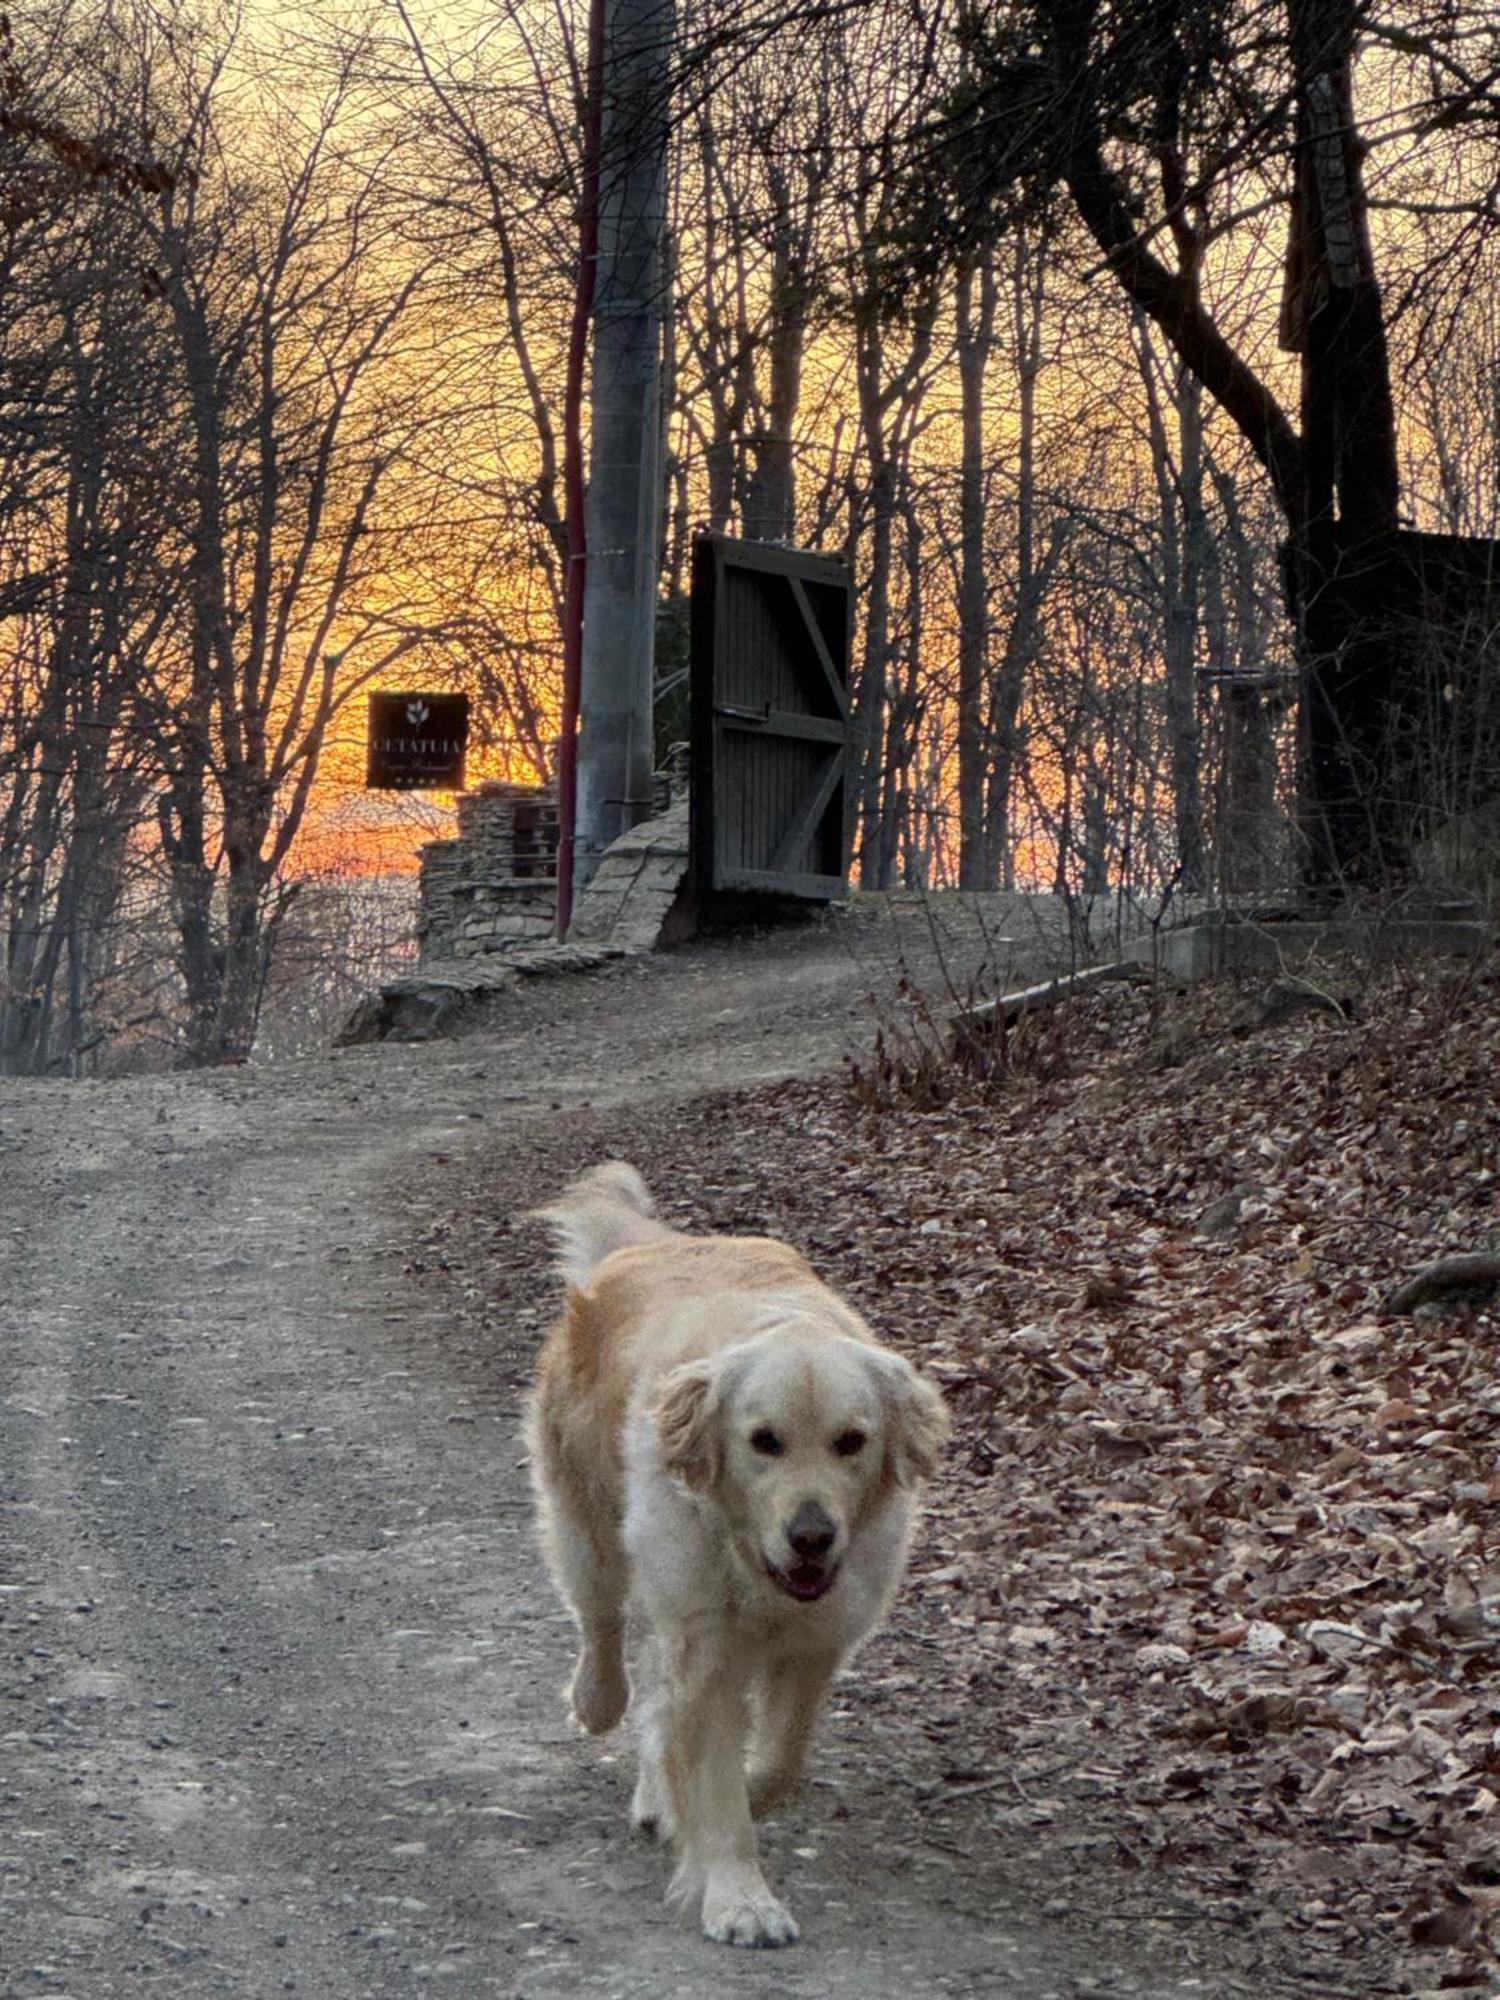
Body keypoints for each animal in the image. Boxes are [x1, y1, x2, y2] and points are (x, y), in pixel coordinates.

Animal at [528, 1168, 952, 1944]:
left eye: (852, 1441)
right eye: (763, 1441)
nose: (812, 1535)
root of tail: (653, 1244)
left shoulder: (819, 1638)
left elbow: (778, 1760)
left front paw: (722, 1796)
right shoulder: (708, 1640)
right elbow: (716, 1785)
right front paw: (740, 1899)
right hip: (586, 1517)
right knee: (600, 1620)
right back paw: (596, 1700)